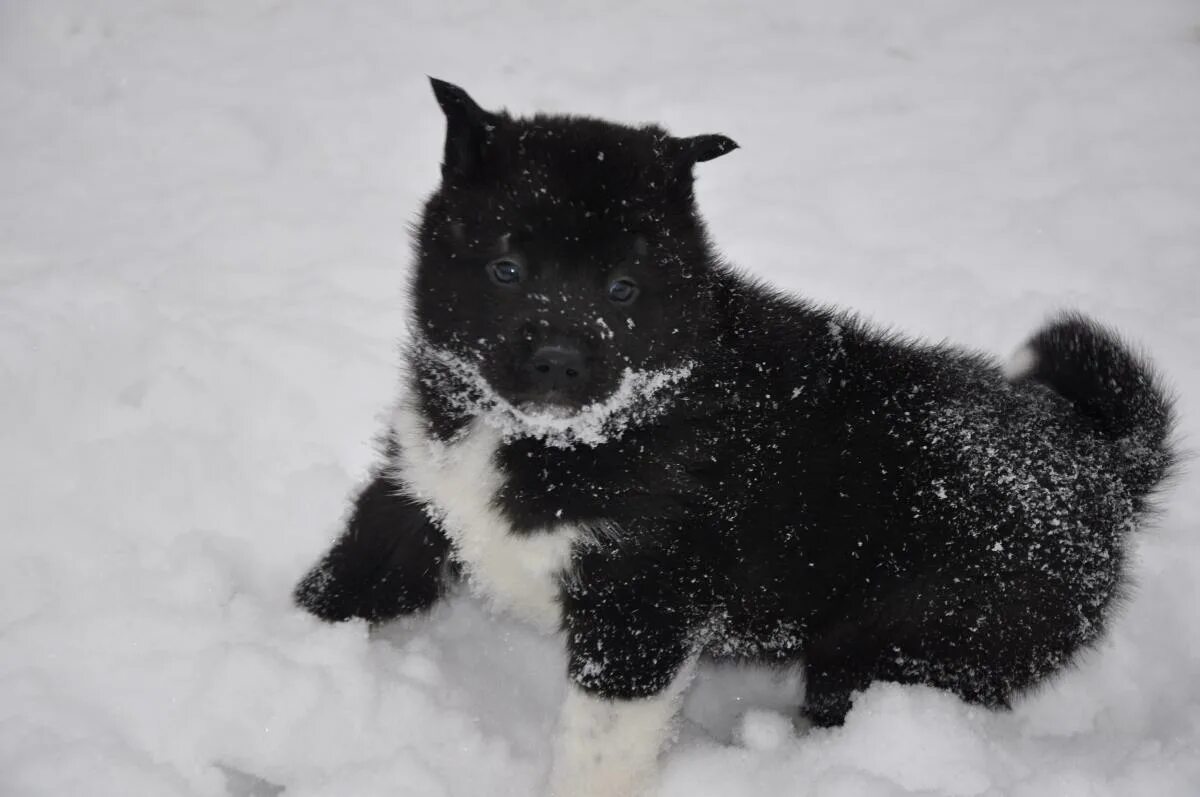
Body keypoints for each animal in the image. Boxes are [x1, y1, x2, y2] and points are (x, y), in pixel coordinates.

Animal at [295, 78, 1176, 792]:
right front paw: (288, 652)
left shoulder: (641, 605)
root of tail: (1101, 461)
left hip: (915, 640)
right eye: (507, 270)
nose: (559, 361)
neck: (558, 439)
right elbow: (349, 577)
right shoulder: (418, 487)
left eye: (623, 288)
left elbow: (597, 749)